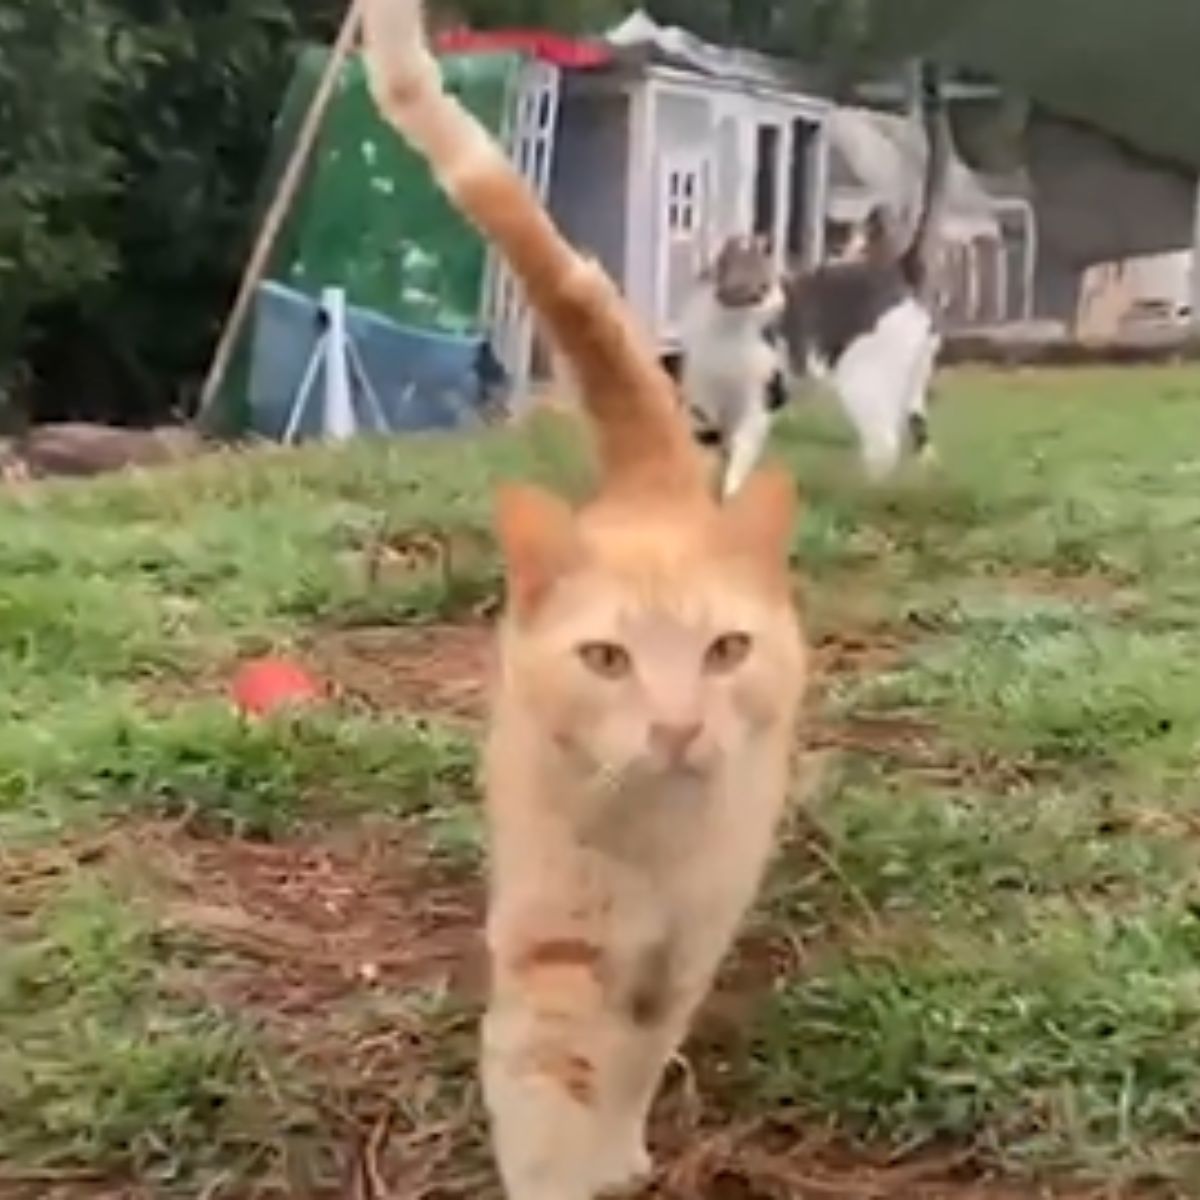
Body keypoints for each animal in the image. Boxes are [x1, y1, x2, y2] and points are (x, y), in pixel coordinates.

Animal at [676, 236, 787, 499]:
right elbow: (705, 429)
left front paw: (731, 485)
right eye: (763, 288)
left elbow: (743, 443)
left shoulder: (756, 398)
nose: (782, 303)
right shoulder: (702, 390)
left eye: (779, 283)